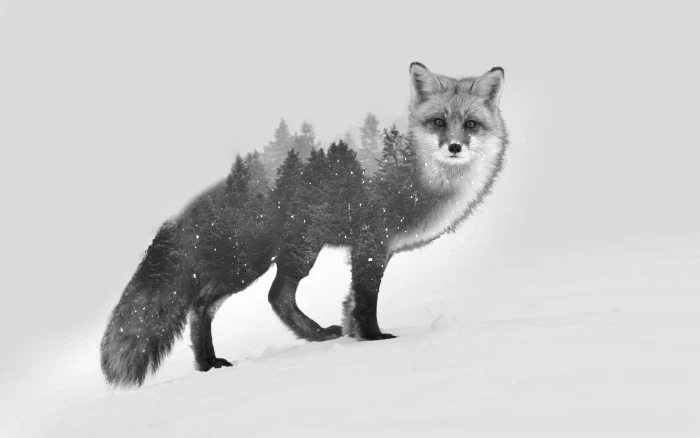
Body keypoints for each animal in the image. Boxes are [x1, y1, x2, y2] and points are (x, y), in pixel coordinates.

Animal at [100, 62, 509, 388]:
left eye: (470, 124)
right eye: (438, 122)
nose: (454, 147)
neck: (420, 178)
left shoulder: (378, 249)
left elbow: (350, 303)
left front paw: (354, 337)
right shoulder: (371, 241)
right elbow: (366, 301)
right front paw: (376, 341)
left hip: (297, 250)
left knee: (276, 298)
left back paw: (315, 336)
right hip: (249, 261)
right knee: (203, 306)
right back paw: (208, 364)